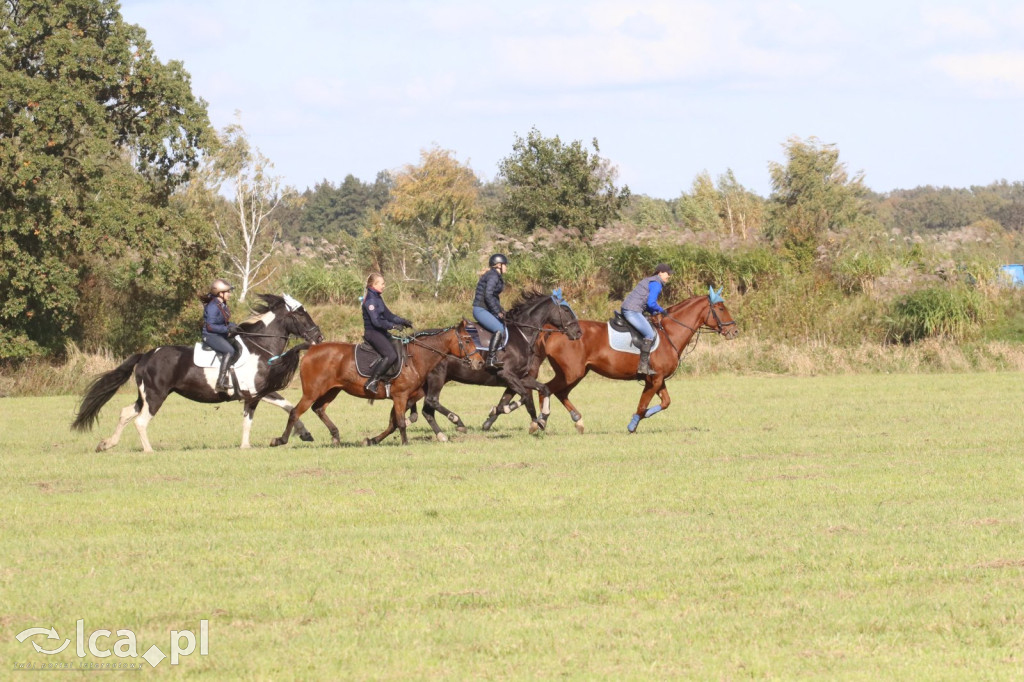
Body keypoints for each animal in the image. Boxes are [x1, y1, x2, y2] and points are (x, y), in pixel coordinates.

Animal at [71, 288, 323, 448]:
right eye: (301, 314)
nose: (319, 337)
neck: (258, 346)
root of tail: (146, 355)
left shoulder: (260, 392)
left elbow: (287, 407)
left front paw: (305, 434)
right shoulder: (253, 394)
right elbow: (251, 420)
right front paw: (247, 446)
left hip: (145, 396)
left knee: (125, 413)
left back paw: (107, 444)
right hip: (155, 396)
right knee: (141, 421)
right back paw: (149, 450)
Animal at [268, 319, 483, 446]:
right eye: (467, 340)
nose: (479, 362)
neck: (415, 358)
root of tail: (312, 349)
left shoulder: (407, 397)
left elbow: (395, 422)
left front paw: (371, 440)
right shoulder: (400, 396)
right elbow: (400, 422)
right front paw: (405, 443)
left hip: (331, 390)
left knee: (319, 409)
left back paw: (336, 436)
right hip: (312, 391)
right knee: (296, 412)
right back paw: (281, 440)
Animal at [407, 284, 585, 436]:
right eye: (565, 309)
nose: (578, 332)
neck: (522, 334)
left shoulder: (520, 378)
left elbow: (540, 391)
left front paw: (541, 419)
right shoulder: (507, 375)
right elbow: (524, 399)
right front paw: (535, 421)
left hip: (430, 382)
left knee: (427, 409)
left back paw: (440, 434)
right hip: (437, 378)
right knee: (432, 401)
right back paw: (457, 422)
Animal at [528, 284, 737, 432]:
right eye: (720, 308)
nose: (734, 331)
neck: (669, 333)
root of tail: (553, 331)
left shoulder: (657, 379)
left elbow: (664, 402)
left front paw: (640, 418)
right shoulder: (655, 379)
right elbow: (643, 404)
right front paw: (633, 424)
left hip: (577, 373)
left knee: (559, 392)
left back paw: (577, 421)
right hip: (572, 372)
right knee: (546, 389)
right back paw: (539, 423)